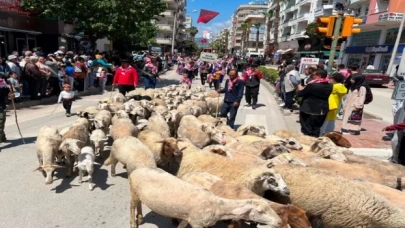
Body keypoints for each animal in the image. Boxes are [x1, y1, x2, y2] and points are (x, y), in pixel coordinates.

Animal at [129, 167, 280, 228]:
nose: (279, 222)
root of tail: (137, 170)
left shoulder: (190, 218)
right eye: (260, 211)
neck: (216, 206)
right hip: (133, 190)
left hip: (138, 194)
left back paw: (140, 218)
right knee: (132, 207)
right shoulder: (197, 223)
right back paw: (133, 223)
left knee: (139, 204)